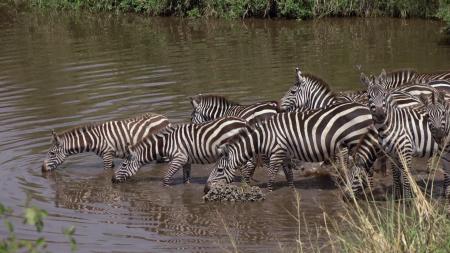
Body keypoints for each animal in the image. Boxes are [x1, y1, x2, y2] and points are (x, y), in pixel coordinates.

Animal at [41, 112, 171, 172]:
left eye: (52, 153)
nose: (42, 169)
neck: (93, 140)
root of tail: (164, 118)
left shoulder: (107, 154)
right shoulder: (106, 156)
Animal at [110, 115, 248, 185]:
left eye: (124, 164)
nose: (112, 180)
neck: (166, 144)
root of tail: (244, 122)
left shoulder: (179, 158)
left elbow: (166, 179)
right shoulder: (187, 160)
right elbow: (186, 179)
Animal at [204, 102, 380, 193]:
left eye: (219, 170)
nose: (206, 189)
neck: (262, 137)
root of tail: (365, 108)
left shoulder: (276, 153)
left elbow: (271, 175)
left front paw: (268, 193)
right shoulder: (285, 154)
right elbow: (288, 174)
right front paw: (292, 191)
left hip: (357, 140)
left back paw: (368, 190)